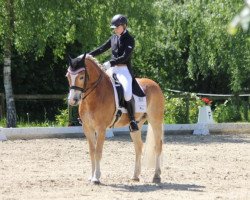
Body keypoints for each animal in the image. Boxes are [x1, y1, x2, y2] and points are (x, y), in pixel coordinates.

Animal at [65, 53, 165, 184]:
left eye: (81, 77)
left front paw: (96, 178)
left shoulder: (101, 129)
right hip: (136, 124)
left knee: (158, 146)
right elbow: (92, 152)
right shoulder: (87, 128)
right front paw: (91, 176)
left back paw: (156, 176)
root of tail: (155, 84)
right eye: (67, 76)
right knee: (138, 146)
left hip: (155, 121)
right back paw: (135, 176)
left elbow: (98, 152)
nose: (72, 100)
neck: (96, 95)